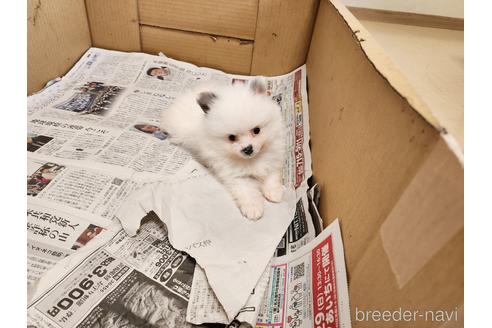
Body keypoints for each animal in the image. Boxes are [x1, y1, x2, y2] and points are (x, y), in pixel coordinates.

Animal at [161, 78, 284, 219]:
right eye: (231, 137)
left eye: (256, 130)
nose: (248, 149)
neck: (251, 159)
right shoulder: (235, 175)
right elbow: (246, 190)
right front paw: (253, 208)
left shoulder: (273, 158)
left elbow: (272, 176)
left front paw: (274, 192)